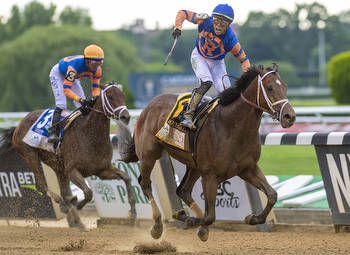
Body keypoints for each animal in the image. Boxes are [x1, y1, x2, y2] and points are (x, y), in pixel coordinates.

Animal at [0, 82, 136, 231]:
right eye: (110, 96)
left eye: (123, 95)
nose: (125, 117)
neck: (90, 135)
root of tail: (18, 125)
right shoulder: (72, 171)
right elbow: (88, 192)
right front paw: (77, 204)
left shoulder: (102, 170)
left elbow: (126, 177)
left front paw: (133, 214)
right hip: (31, 155)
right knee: (43, 187)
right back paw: (64, 205)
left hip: (57, 166)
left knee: (64, 193)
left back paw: (77, 221)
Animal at [117, 64, 296, 241]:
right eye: (270, 87)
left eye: (285, 86)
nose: (290, 116)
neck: (232, 126)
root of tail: (148, 106)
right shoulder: (210, 175)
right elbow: (210, 216)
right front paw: (189, 219)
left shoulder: (248, 168)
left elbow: (272, 195)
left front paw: (253, 218)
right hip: (149, 155)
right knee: (145, 183)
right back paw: (158, 225)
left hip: (194, 165)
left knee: (182, 190)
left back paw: (194, 222)